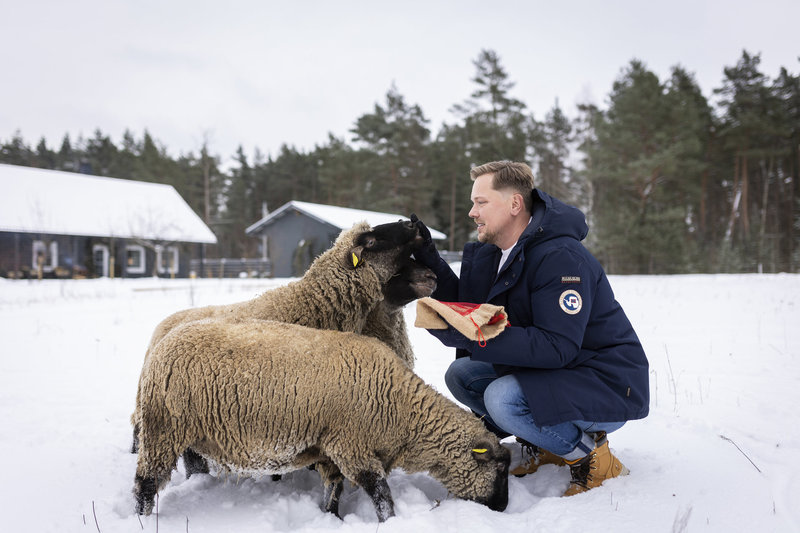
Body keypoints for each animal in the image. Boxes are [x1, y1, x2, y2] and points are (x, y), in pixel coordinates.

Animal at [134, 316, 510, 520]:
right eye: (498, 469)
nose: (503, 508)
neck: (402, 412)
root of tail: (161, 345)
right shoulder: (351, 444)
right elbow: (380, 492)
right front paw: (389, 521)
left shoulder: (330, 446)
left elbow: (334, 489)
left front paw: (331, 517)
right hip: (161, 429)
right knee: (146, 483)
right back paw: (141, 519)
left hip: (188, 430)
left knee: (190, 461)